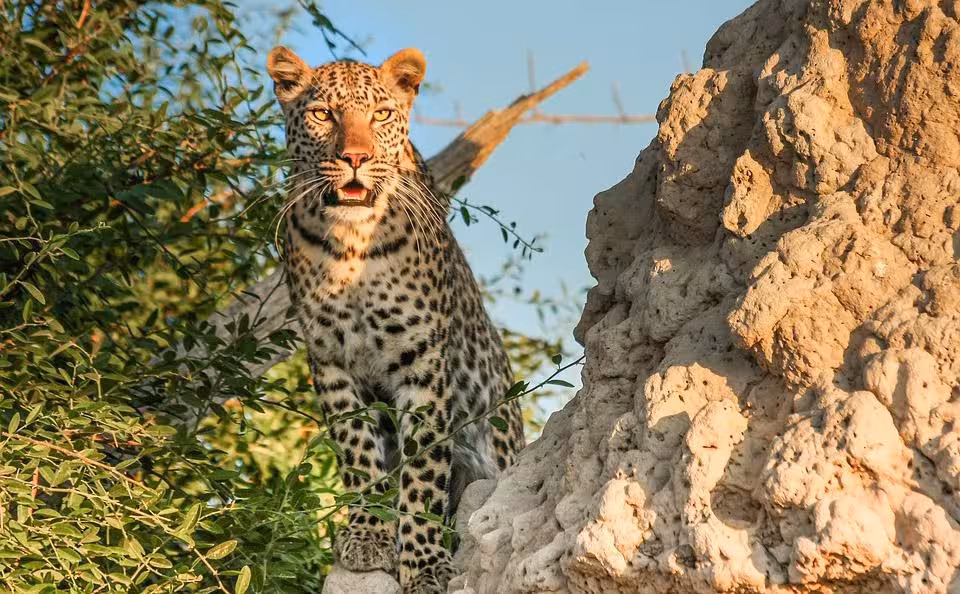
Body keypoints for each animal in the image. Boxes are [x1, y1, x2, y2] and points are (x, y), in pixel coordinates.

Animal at [266, 46, 525, 593]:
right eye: (323, 114)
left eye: (381, 115)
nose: (355, 159)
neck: (352, 245)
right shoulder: (330, 360)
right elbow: (357, 451)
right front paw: (367, 535)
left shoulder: (422, 361)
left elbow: (423, 468)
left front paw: (425, 563)